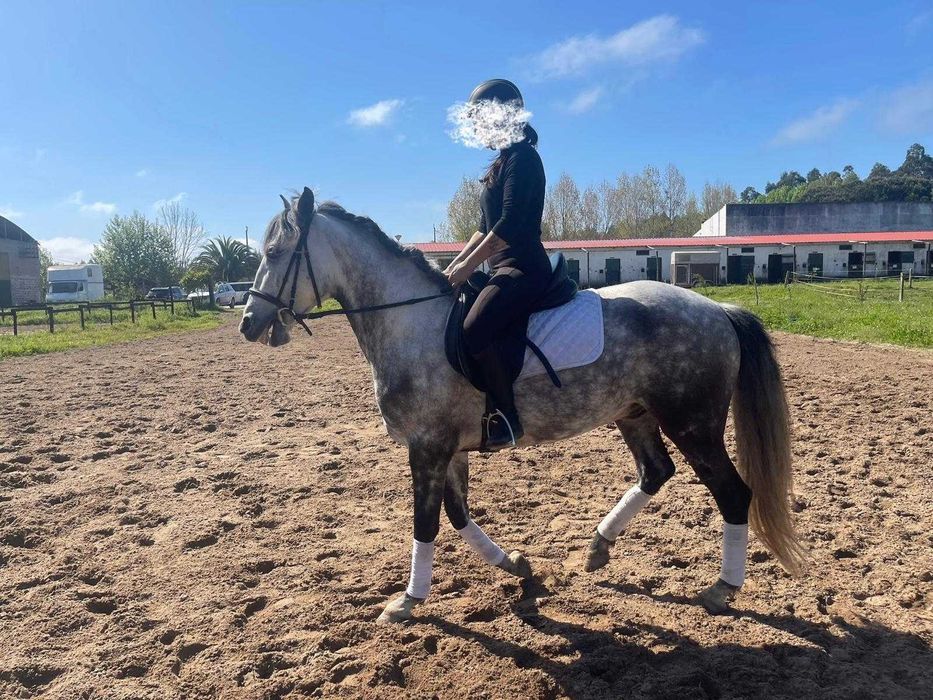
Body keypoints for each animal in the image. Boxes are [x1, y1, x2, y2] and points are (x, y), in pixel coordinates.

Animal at [240, 187, 804, 623]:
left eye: (276, 251)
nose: (248, 323)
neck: (412, 324)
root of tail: (718, 309)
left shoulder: (427, 448)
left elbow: (426, 523)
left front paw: (407, 601)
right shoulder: (449, 449)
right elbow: (458, 515)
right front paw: (516, 566)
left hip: (693, 424)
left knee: (733, 493)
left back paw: (721, 590)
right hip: (635, 413)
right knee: (655, 472)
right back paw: (597, 547)